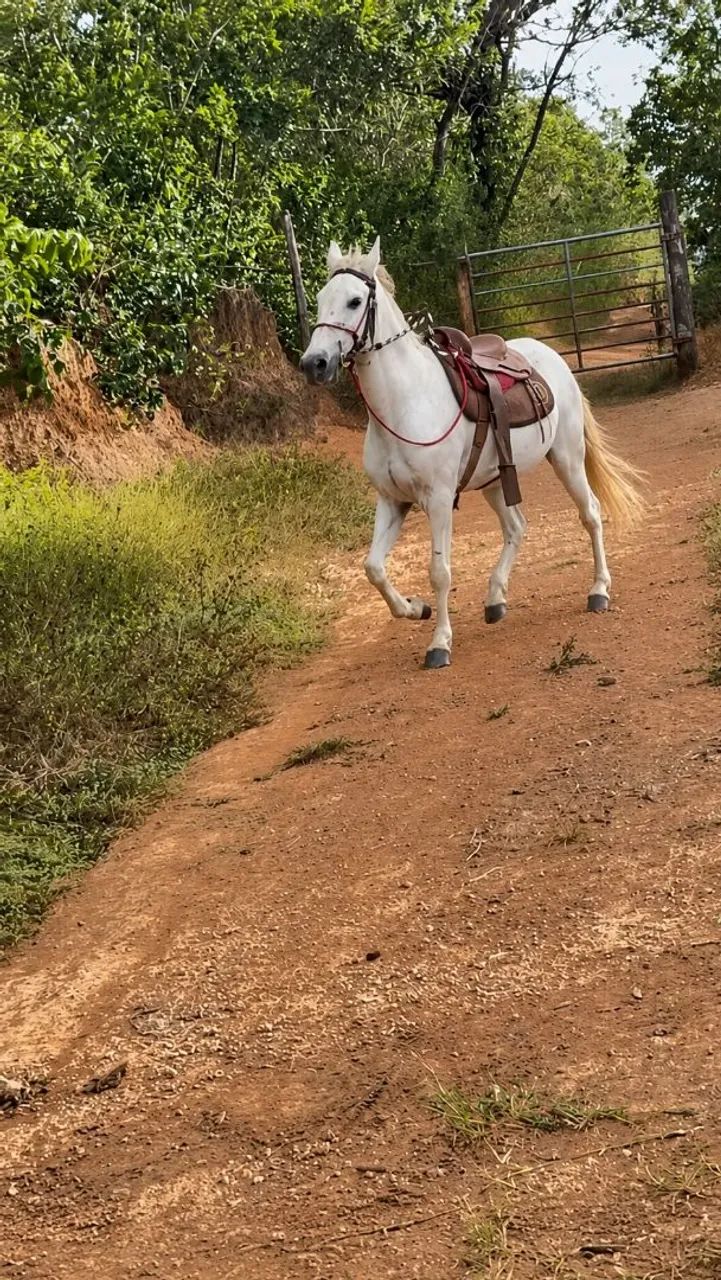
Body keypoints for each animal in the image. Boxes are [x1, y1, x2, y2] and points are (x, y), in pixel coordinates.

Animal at [300, 236, 645, 669]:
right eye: (319, 298)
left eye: (355, 301)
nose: (314, 363)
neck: (405, 402)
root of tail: (552, 358)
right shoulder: (392, 500)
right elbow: (373, 568)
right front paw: (416, 608)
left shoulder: (438, 499)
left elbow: (440, 571)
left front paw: (439, 644)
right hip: (495, 480)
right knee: (516, 528)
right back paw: (495, 598)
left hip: (567, 459)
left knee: (591, 515)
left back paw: (598, 590)